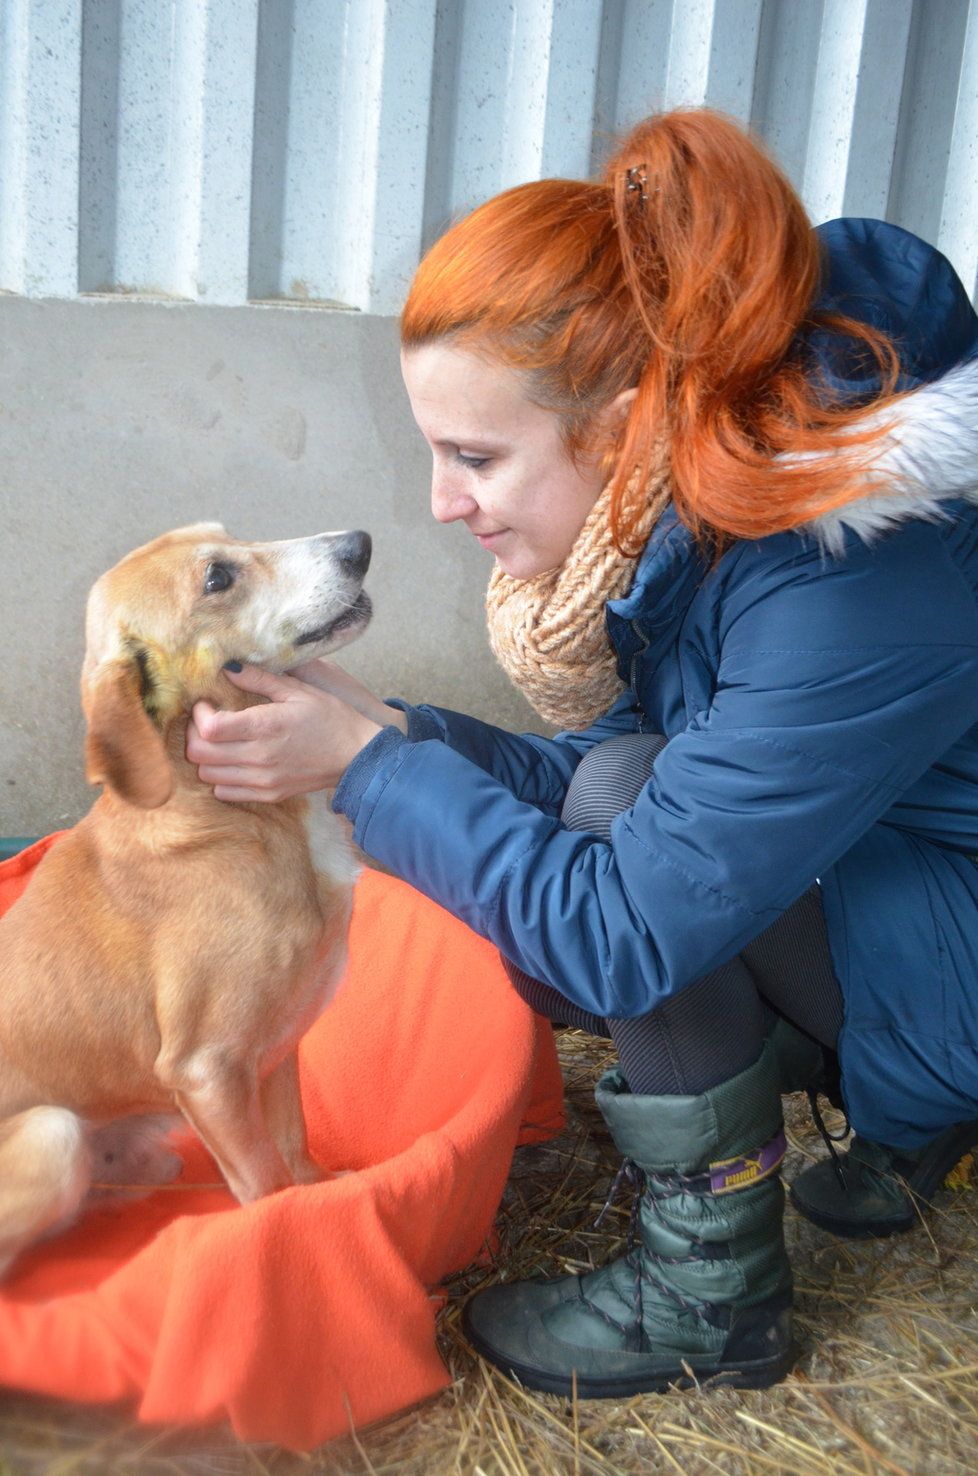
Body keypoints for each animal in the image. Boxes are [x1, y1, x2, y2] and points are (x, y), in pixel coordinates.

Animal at [0, 522, 373, 1281]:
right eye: (217, 578)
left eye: (232, 538)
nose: (360, 541)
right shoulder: (207, 1070)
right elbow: (269, 1188)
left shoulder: (274, 1049)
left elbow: (296, 1155)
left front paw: (328, 1198)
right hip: (53, 1134)